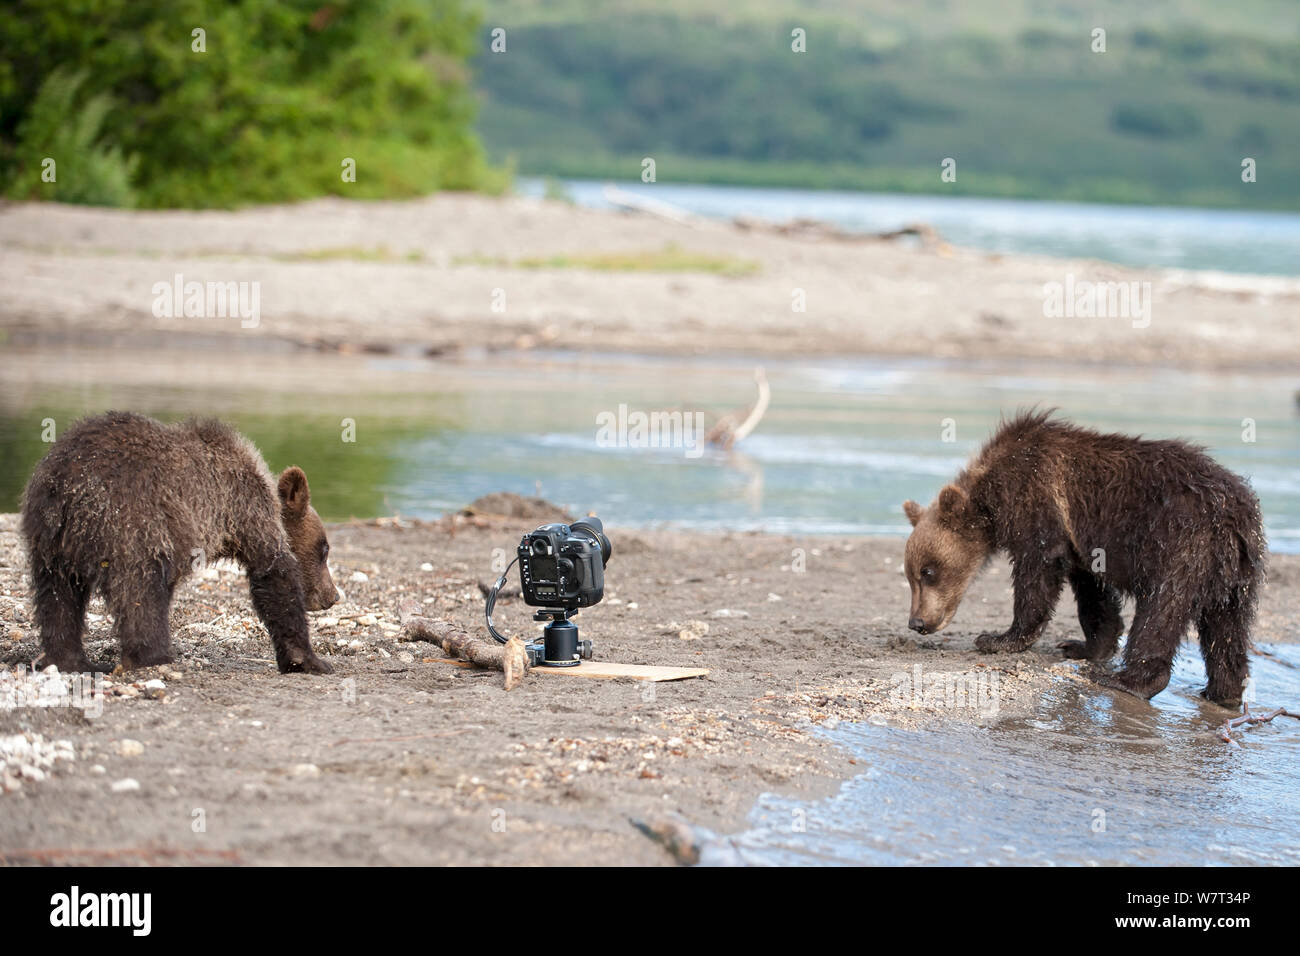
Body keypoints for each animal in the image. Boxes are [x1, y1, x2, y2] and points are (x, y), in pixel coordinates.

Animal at [22, 416, 338, 676]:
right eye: (323, 550)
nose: (333, 596)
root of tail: (66, 487)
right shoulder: (246, 510)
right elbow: (274, 576)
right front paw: (310, 660)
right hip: (131, 525)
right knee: (141, 596)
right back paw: (154, 655)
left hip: (51, 542)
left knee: (58, 598)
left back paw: (70, 660)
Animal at [904, 408, 1258, 707]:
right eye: (911, 576)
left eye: (928, 572)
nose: (916, 622)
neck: (991, 498)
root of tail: (1233, 515)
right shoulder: (1078, 539)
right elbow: (1093, 594)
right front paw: (1085, 645)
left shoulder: (1036, 500)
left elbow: (1037, 573)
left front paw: (998, 638)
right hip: (1235, 575)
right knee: (1227, 631)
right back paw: (1221, 691)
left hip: (1180, 546)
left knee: (1161, 611)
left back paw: (1127, 681)